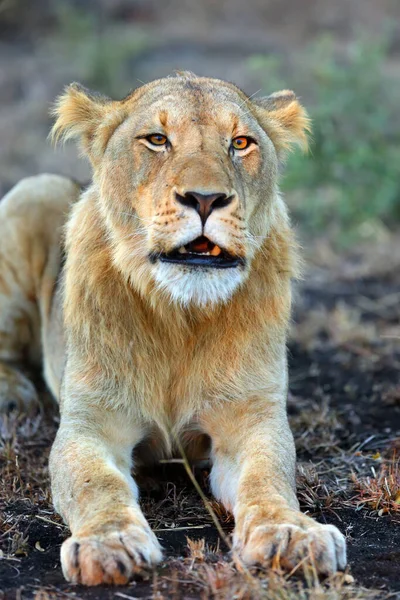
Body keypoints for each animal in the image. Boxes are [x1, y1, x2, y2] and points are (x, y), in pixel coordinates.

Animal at [0, 71, 346, 584]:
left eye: (240, 143)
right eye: (157, 140)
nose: (205, 198)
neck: (179, 317)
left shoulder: (251, 419)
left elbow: (268, 476)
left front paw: (291, 533)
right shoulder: (89, 424)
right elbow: (94, 482)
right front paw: (109, 543)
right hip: (33, 192)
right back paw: (12, 394)